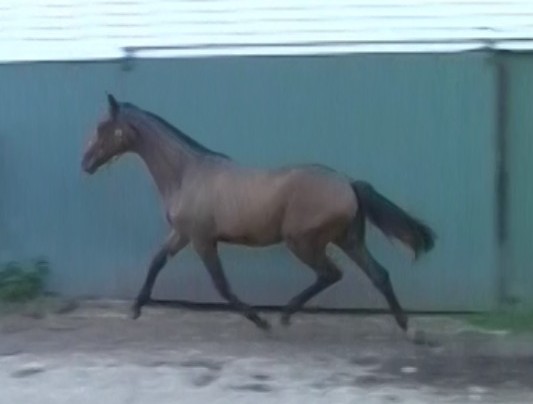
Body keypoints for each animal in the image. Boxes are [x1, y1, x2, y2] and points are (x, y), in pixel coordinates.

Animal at [81, 94, 434, 334]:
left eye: (102, 127)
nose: (85, 163)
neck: (186, 173)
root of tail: (347, 183)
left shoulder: (202, 240)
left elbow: (221, 285)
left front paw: (259, 320)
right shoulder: (182, 234)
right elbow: (156, 262)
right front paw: (135, 308)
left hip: (303, 242)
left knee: (331, 274)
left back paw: (284, 315)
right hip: (348, 239)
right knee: (379, 275)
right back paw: (408, 329)